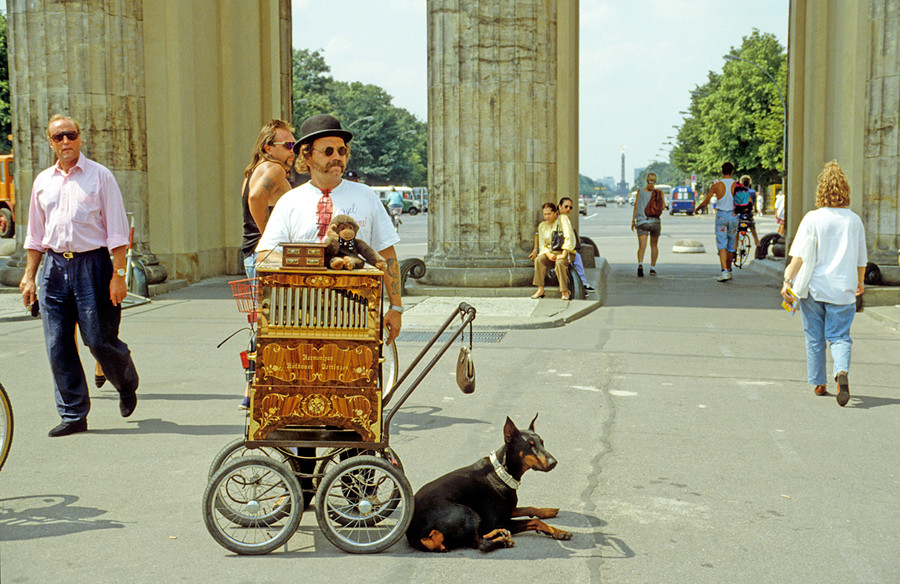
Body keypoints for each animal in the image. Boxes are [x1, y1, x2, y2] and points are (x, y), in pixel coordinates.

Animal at [406, 416, 568, 552]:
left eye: (542, 443)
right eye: (530, 445)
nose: (554, 462)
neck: (502, 473)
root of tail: (417, 535)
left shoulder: (508, 510)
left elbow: (529, 508)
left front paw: (548, 511)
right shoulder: (497, 520)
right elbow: (534, 521)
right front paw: (560, 532)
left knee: (477, 538)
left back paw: (500, 535)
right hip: (467, 513)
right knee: (481, 544)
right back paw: (502, 540)